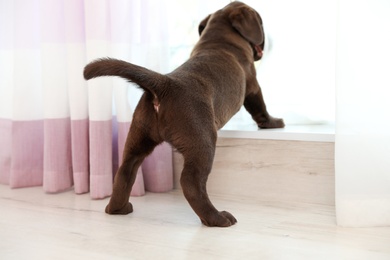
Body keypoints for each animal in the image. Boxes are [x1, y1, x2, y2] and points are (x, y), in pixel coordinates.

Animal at [84, 1, 284, 226]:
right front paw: (273, 122)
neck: (218, 39)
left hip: (138, 137)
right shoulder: (252, 86)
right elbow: (260, 107)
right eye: (261, 21)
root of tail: (165, 84)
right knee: (190, 182)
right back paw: (217, 218)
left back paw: (118, 208)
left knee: (126, 170)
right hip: (203, 142)